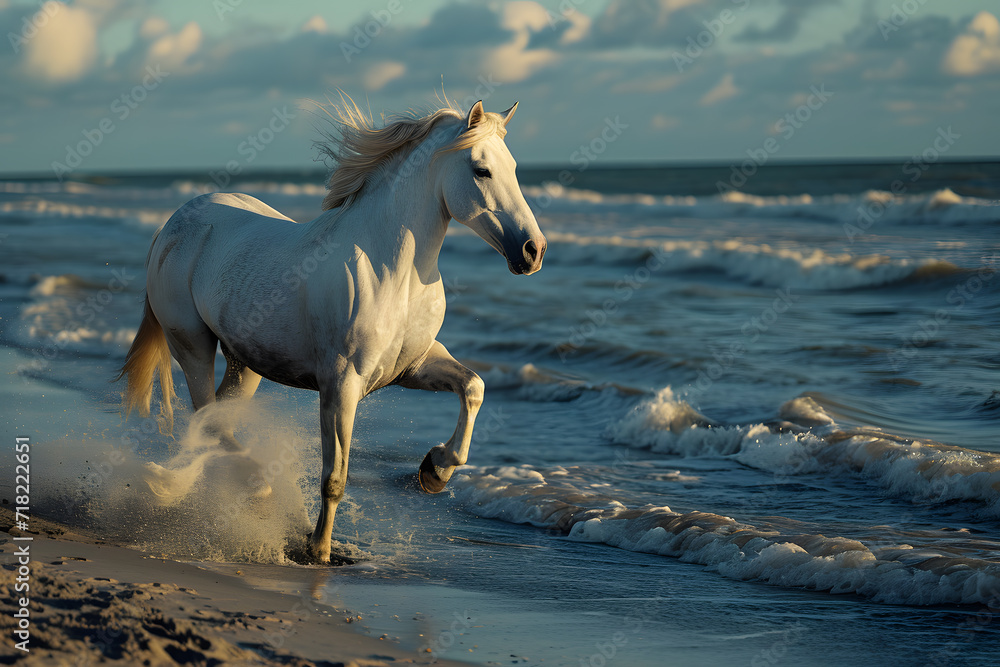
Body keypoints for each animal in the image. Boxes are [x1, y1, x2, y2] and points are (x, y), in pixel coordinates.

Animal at [116, 99, 546, 563]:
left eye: (514, 167)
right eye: (481, 170)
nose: (533, 250)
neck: (390, 271)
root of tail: (173, 224)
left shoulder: (412, 367)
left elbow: (473, 387)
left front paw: (435, 470)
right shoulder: (341, 383)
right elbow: (335, 476)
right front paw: (319, 550)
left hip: (244, 362)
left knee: (218, 419)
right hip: (192, 344)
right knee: (206, 418)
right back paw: (254, 490)